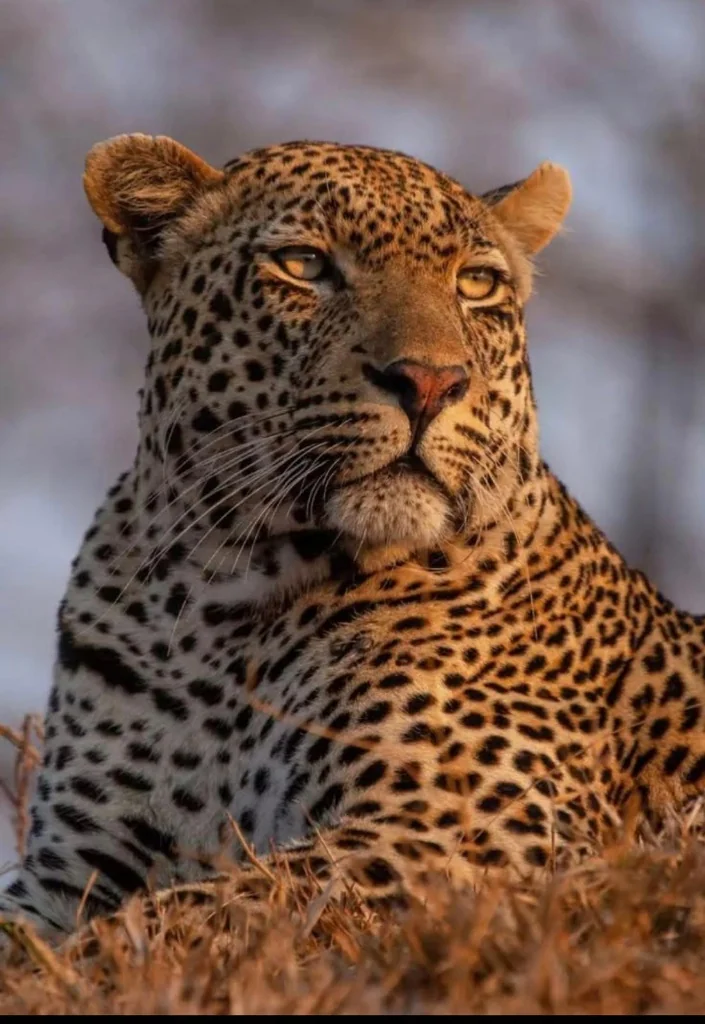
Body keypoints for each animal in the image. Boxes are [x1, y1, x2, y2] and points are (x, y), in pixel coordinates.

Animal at [1, 132, 704, 943]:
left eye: (477, 283)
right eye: (304, 265)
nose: (430, 382)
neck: (222, 600)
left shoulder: (467, 834)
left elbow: (192, 914)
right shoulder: (68, 870)